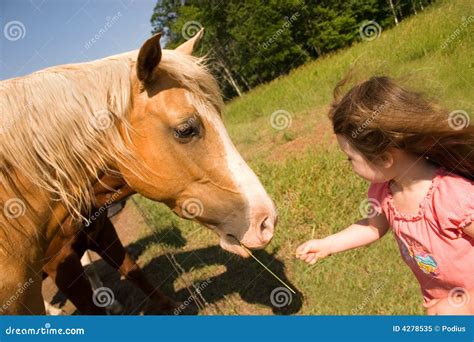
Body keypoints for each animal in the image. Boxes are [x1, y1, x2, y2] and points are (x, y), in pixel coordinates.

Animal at [0, 30, 276, 314]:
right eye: (185, 130)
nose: (266, 221)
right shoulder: (60, 265)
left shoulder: (103, 233)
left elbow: (132, 270)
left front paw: (169, 305)